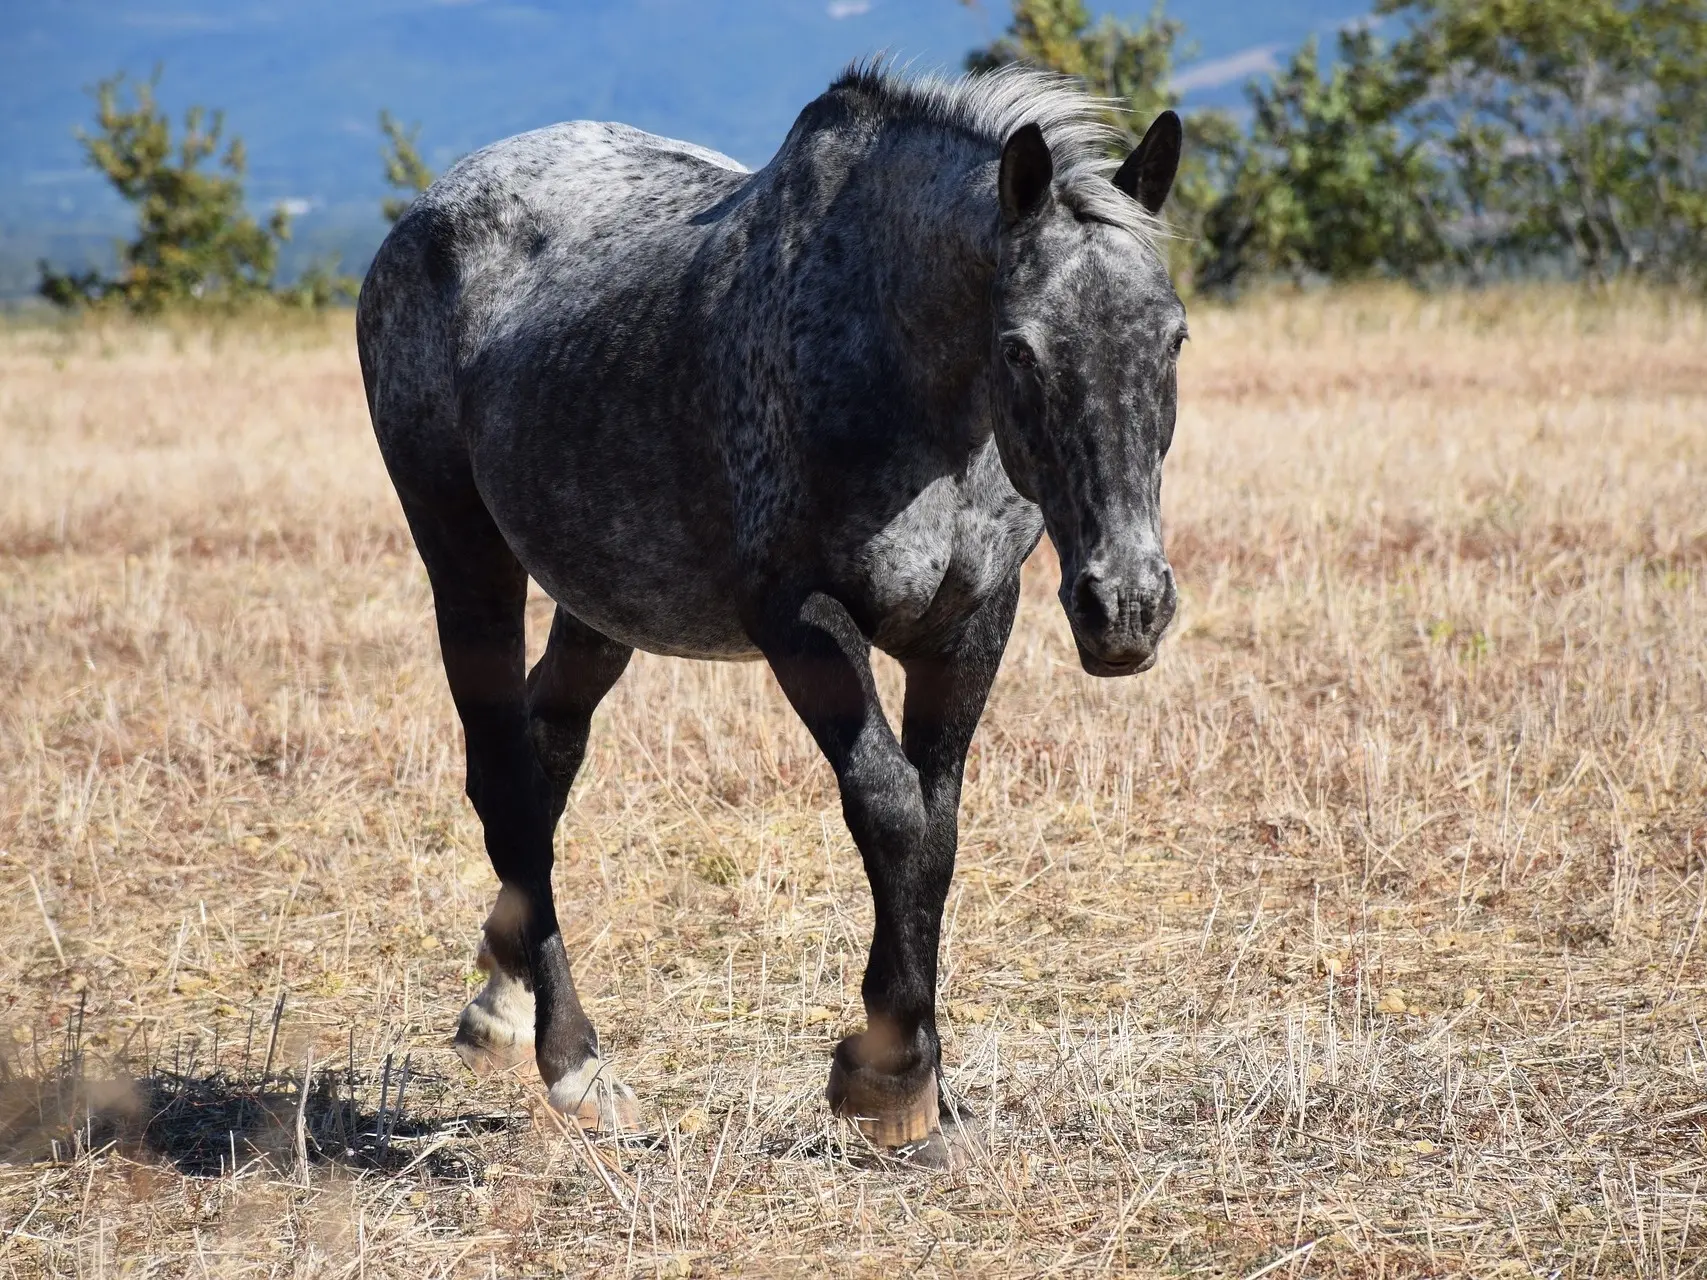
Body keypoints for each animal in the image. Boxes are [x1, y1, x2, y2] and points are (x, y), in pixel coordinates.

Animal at [356, 60, 1188, 1167]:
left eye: (1174, 337)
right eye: (1019, 349)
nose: (1124, 605)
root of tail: (426, 216)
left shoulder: (970, 624)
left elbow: (937, 828)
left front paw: (922, 1085)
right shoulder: (801, 621)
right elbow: (889, 809)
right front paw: (890, 1078)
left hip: (598, 605)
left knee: (545, 751)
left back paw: (501, 996)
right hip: (465, 558)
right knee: (503, 770)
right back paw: (573, 1062)